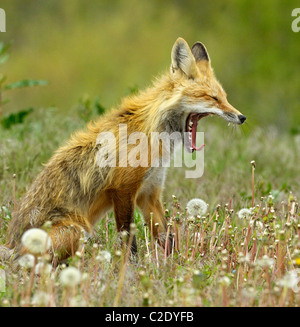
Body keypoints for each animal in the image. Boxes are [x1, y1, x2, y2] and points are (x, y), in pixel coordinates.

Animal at [4, 36, 246, 262]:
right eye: (213, 98)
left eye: (225, 97)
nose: (242, 117)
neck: (153, 133)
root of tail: (9, 245)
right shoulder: (123, 189)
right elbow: (130, 242)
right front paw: (130, 272)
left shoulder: (149, 192)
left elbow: (167, 238)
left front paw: (175, 266)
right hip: (76, 230)